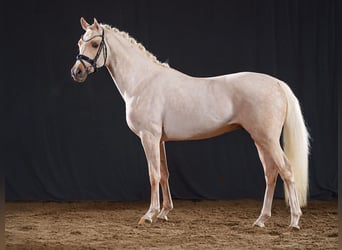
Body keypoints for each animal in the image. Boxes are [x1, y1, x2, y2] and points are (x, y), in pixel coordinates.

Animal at [70, 17, 310, 229]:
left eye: (94, 44)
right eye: (80, 42)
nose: (76, 72)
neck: (142, 82)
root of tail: (277, 83)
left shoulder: (149, 137)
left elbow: (153, 174)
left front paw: (149, 215)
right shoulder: (160, 140)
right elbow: (164, 173)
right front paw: (164, 213)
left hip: (267, 139)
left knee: (286, 171)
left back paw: (295, 220)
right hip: (260, 139)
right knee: (271, 173)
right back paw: (261, 219)